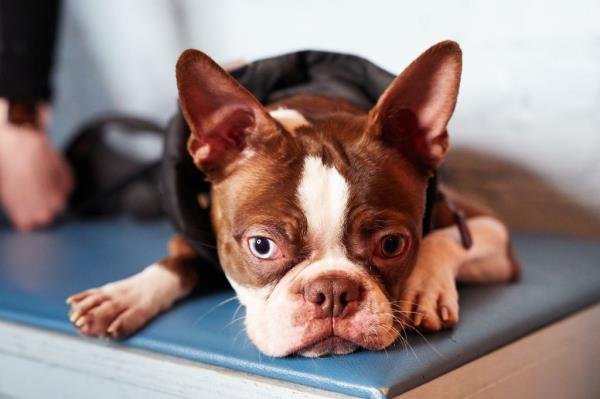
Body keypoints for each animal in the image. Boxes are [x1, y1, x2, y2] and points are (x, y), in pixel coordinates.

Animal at [67, 42, 520, 358]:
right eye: (262, 246)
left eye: (392, 245)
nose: (333, 292)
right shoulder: (198, 236)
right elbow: (177, 262)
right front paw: (125, 294)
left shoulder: (490, 231)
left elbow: (446, 240)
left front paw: (426, 287)